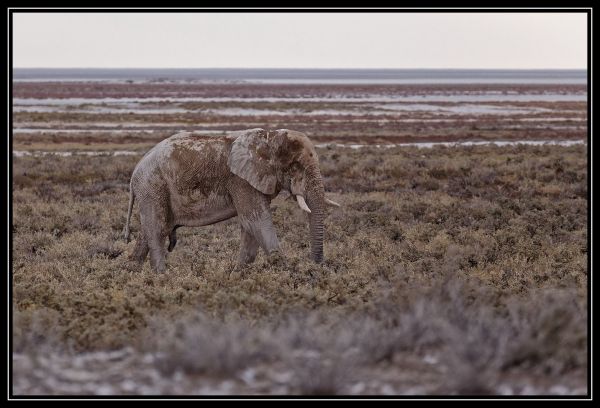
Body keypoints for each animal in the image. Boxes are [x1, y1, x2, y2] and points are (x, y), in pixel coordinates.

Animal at [122, 129, 340, 272]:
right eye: (295, 167)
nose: (318, 267)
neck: (269, 137)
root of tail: (135, 172)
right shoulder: (240, 180)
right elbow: (257, 221)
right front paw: (288, 273)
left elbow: (250, 225)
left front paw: (238, 275)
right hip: (152, 186)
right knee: (157, 229)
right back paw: (162, 276)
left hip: (152, 190)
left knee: (151, 230)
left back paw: (133, 271)